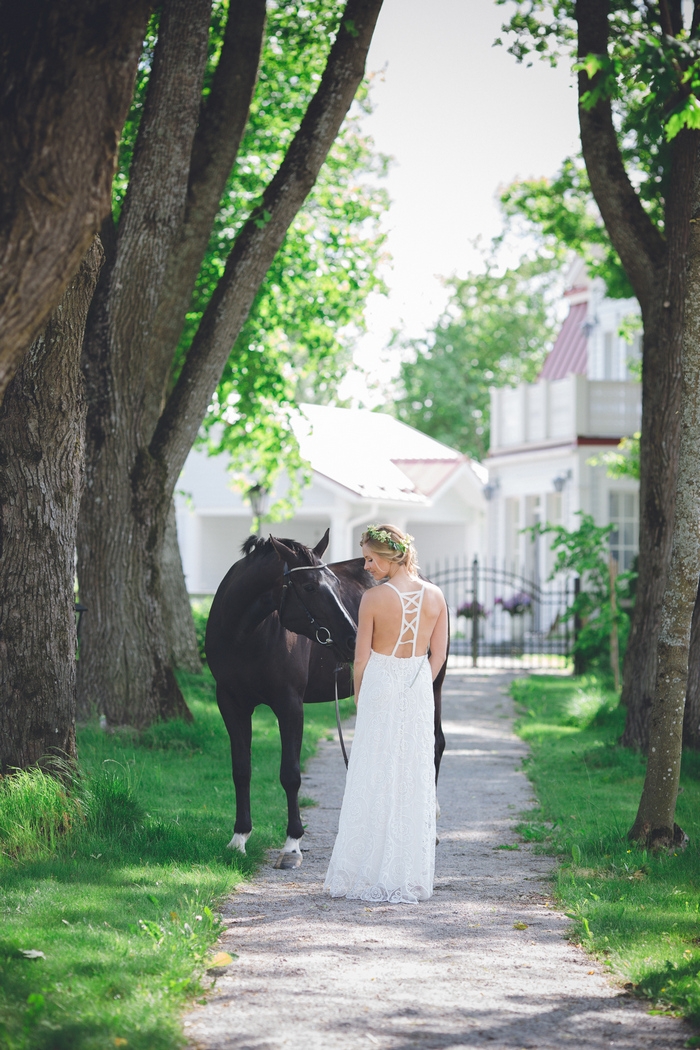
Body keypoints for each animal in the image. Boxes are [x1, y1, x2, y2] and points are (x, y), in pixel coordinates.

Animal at [205, 529, 447, 865]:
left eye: (334, 583)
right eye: (309, 586)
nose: (354, 639)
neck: (245, 635)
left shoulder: (290, 705)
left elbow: (290, 774)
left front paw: (292, 844)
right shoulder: (231, 704)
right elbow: (241, 770)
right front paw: (239, 838)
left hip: (433, 684)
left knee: (435, 745)